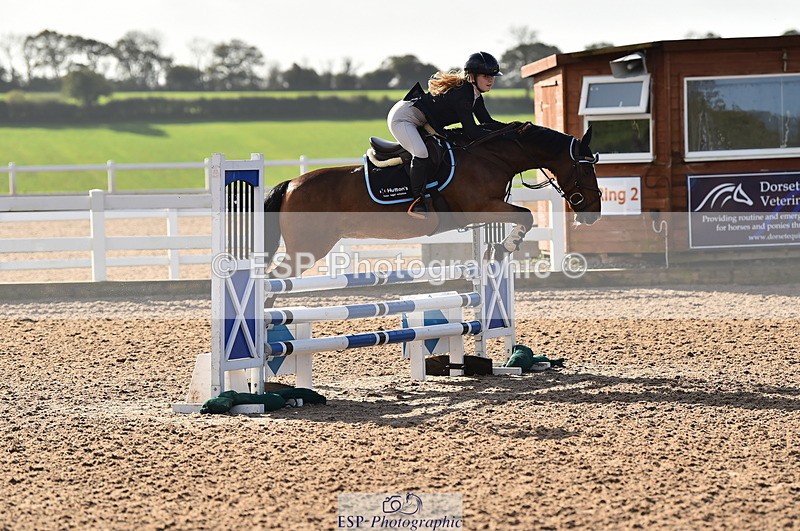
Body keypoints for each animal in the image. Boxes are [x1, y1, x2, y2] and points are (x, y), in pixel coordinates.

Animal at [263, 121, 601, 279]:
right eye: (586, 167)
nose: (594, 213)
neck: (490, 156)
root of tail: (290, 184)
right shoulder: (481, 208)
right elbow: (526, 216)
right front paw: (503, 248)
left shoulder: (488, 209)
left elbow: (522, 217)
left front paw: (497, 249)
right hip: (308, 248)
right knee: (273, 279)